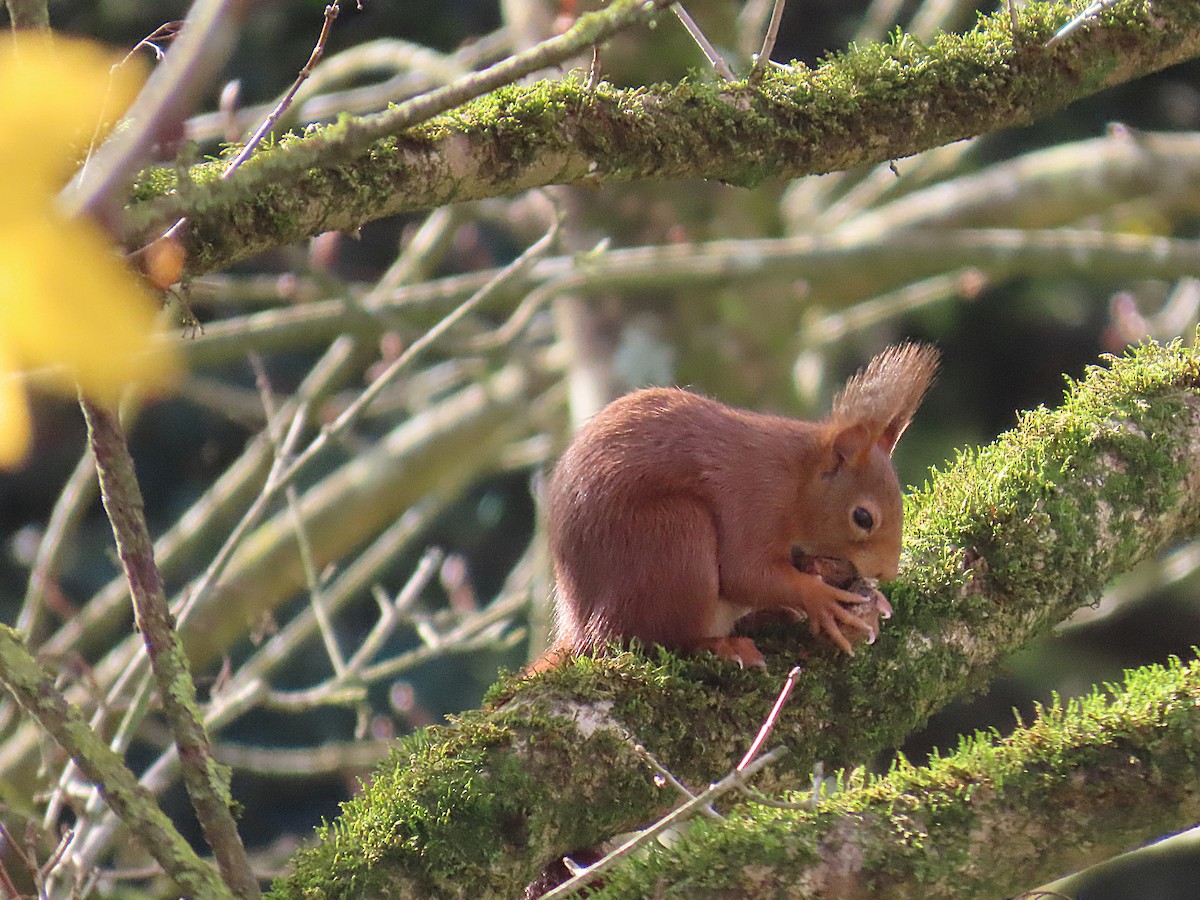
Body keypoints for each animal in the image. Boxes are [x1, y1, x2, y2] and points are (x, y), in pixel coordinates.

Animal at [535, 342, 939, 670]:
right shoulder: (753, 499)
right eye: (863, 517)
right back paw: (721, 645)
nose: (887, 572)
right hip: (674, 538)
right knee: (657, 637)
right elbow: (744, 572)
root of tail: (581, 627)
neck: (797, 480)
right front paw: (820, 599)